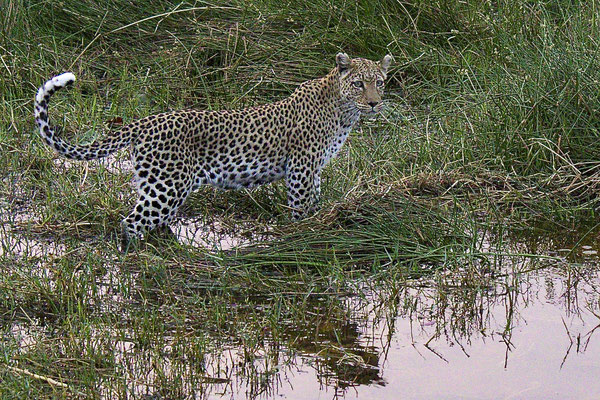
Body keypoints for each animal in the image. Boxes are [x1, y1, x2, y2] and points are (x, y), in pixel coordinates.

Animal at [32, 53, 392, 247]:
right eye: (359, 83)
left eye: (380, 82)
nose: (375, 103)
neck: (344, 111)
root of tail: (145, 121)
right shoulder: (301, 168)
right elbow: (302, 208)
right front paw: (304, 237)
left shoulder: (313, 169)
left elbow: (314, 202)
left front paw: (316, 229)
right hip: (166, 186)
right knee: (131, 223)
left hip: (161, 186)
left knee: (153, 222)